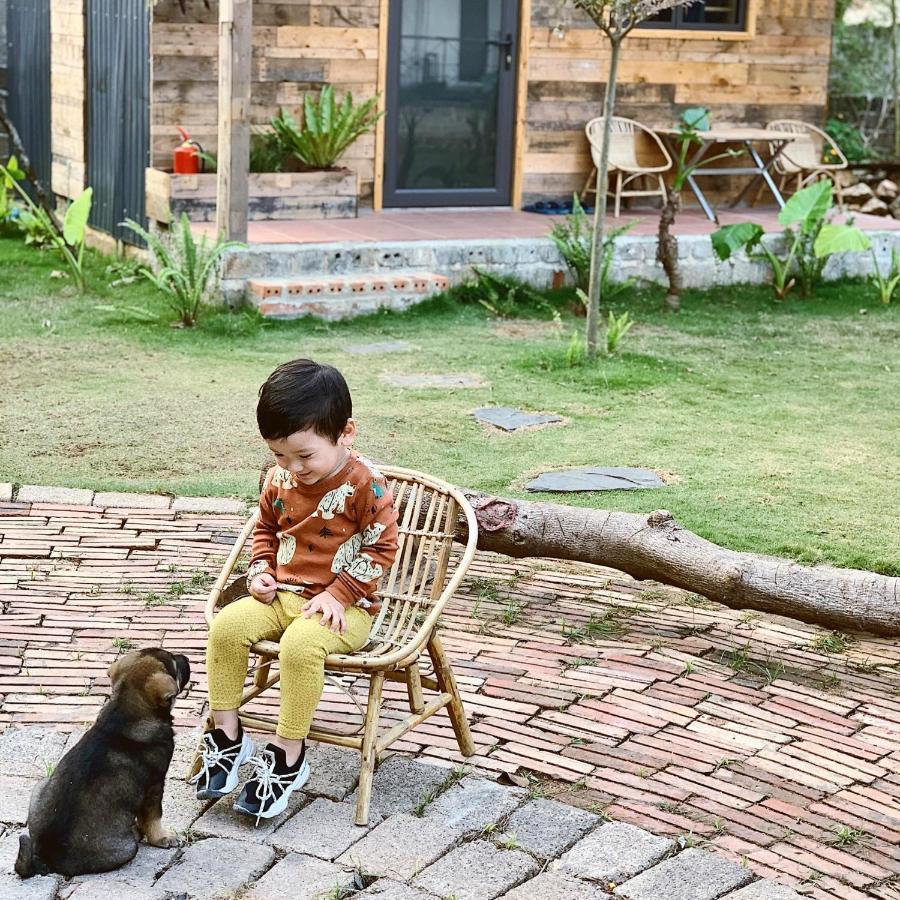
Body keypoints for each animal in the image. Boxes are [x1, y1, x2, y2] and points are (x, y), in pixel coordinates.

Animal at [14, 648, 191, 880]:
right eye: (175, 664)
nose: (187, 658)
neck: (126, 708)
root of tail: (44, 858)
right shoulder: (154, 785)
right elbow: (154, 817)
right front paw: (162, 838)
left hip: (39, 786)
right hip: (126, 848)